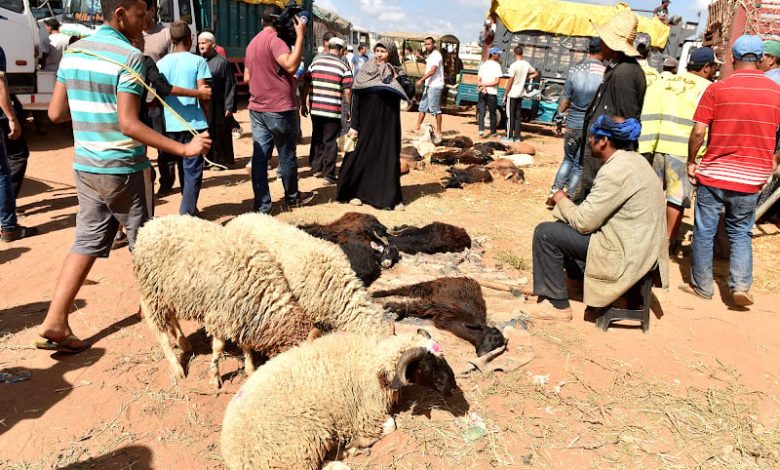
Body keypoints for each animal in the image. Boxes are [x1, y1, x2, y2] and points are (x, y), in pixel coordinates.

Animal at [133, 216, 318, 386]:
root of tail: (148, 226)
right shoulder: (220, 314)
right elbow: (218, 347)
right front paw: (214, 377)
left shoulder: (241, 316)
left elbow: (246, 345)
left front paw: (250, 368)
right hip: (153, 292)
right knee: (160, 331)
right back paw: (177, 367)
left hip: (170, 294)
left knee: (172, 318)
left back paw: (184, 343)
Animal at [219, 328, 458, 468]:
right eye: (429, 365)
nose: (452, 387)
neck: (372, 361)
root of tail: (234, 456)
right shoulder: (365, 416)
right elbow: (390, 425)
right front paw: (355, 443)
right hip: (304, 442)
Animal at [372, 276, 506, 356]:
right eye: (489, 338)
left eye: (496, 346)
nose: (482, 354)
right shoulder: (436, 303)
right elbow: (412, 305)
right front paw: (392, 306)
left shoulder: (434, 311)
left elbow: (413, 309)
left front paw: (397, 310)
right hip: (432, 285)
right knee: (407, 289)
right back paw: (378, 293)